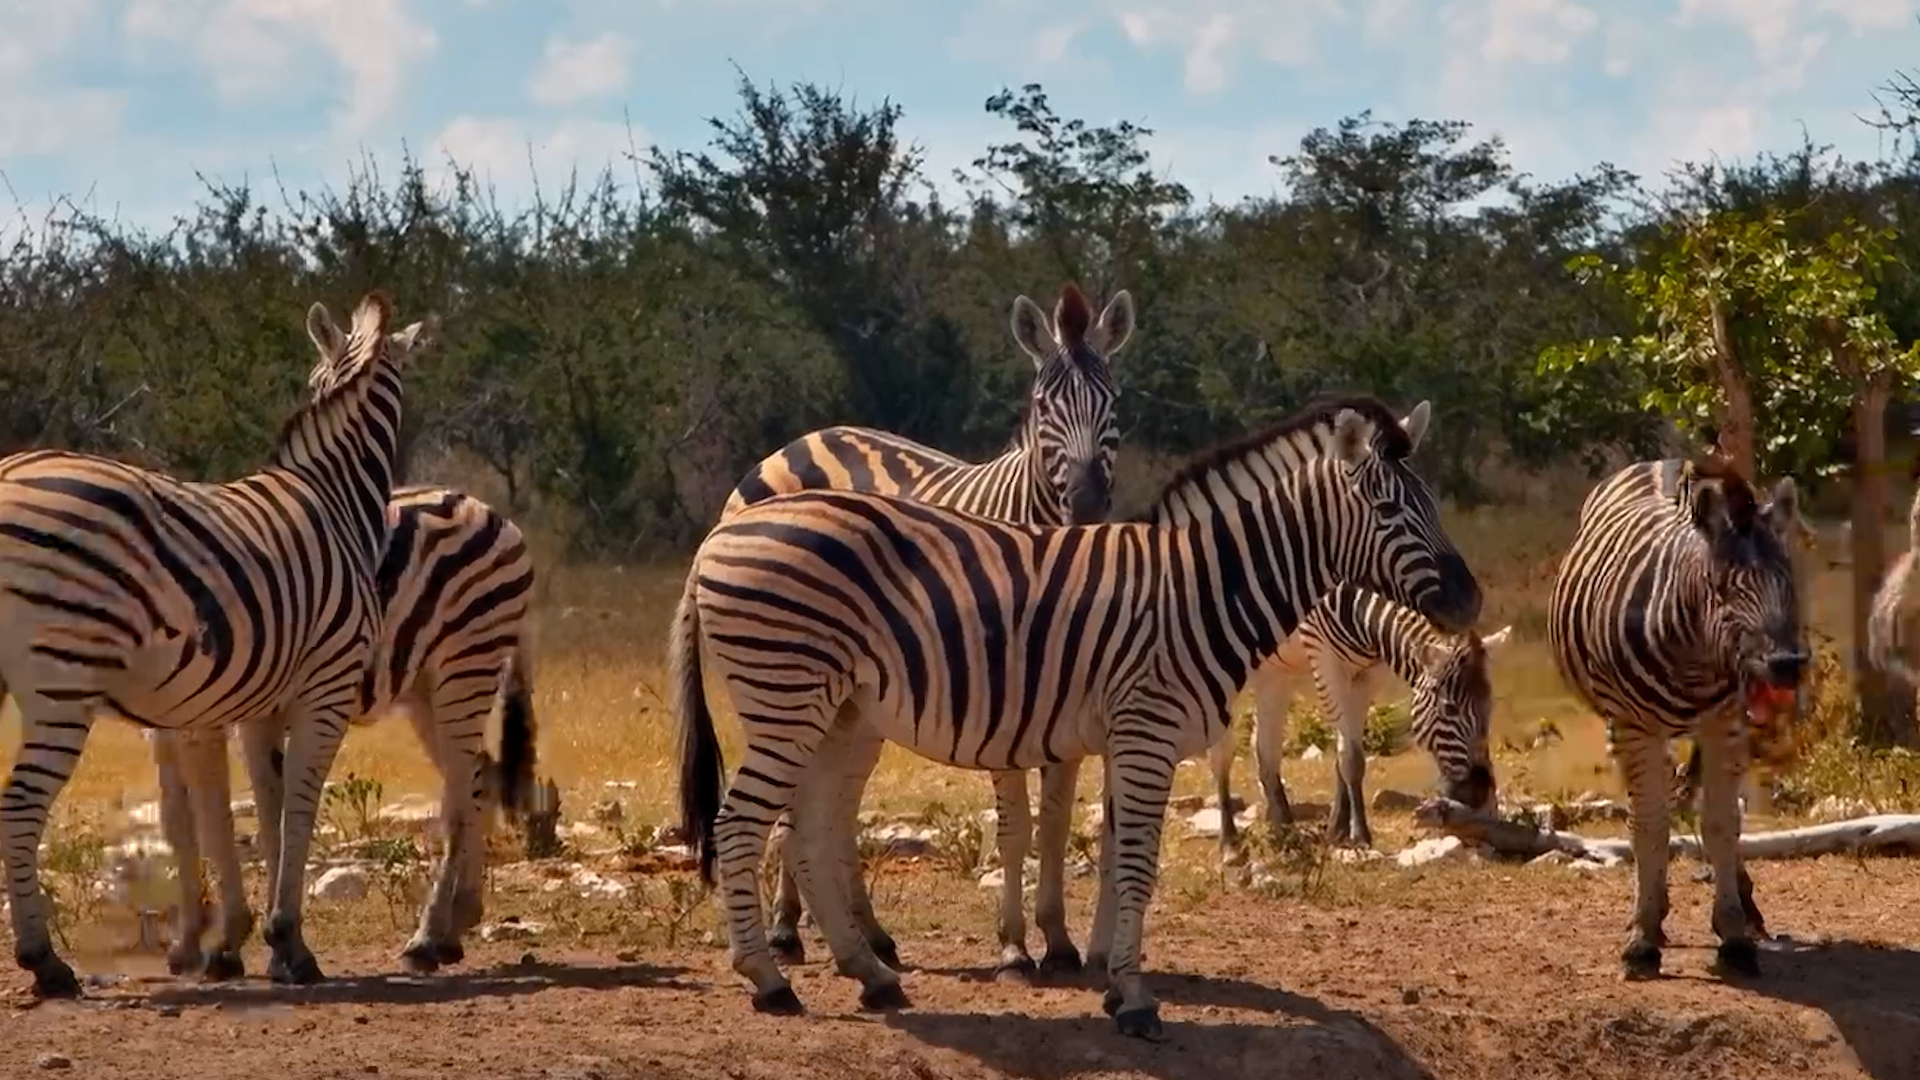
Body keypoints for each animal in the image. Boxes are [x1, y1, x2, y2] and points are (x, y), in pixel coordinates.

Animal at [0, 291, 426, 997]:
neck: (335, 498)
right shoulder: (327, 688)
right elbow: (297, 810)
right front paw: (288, 945)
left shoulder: (250, 705)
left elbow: (251, 812)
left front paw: (257, 946)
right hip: (64, 679)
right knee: (20, 804)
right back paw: (45, 962)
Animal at [151, 483, 538, 981]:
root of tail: (487, 511)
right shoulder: (166, 726)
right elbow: (178, 820)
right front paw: (189, 942)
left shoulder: (208, 718)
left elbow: (215, 820)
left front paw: (228, 943)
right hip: (426, 691)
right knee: (480, 778)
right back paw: (456, 922)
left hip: (465, 668)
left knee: (459, 797)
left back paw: (426, 938)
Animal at [725, 282, 1133, 982]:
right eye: (1041, 407)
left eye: (1112, 402)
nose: (1085, 504)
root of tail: (810, 436)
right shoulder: (1007, 702)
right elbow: (1015, 826)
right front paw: (1014, 948)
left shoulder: (1068, 702)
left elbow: (1054, 824)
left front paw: (1058, 941)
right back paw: (784, 931)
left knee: (832, 804)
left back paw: (869, 935)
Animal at [1207, 584, 1512, 855]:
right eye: (1449, 709)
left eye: (1490, 707)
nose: (1478, 793)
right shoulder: (1326, 660)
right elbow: (1351, 757)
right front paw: (1360, 834)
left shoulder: (1368, 675)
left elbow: (1347, 755)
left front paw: (1338, 829)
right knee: (1223, 753)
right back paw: (1230, 840)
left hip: (1274, 672)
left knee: (1265, 751)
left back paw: (1282, 827)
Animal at [1547, 455, 1804, 981]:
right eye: (1724, 588)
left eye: (1788, 582)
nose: (1787, 665)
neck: (1697, 660)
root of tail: (1659, 462)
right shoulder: (1635, 728)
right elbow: (1649, 823)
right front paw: (1643, 937)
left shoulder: (1726, 723)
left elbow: (1723, 824)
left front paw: (1733, 934)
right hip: (1622, 723)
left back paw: (1743, 900)